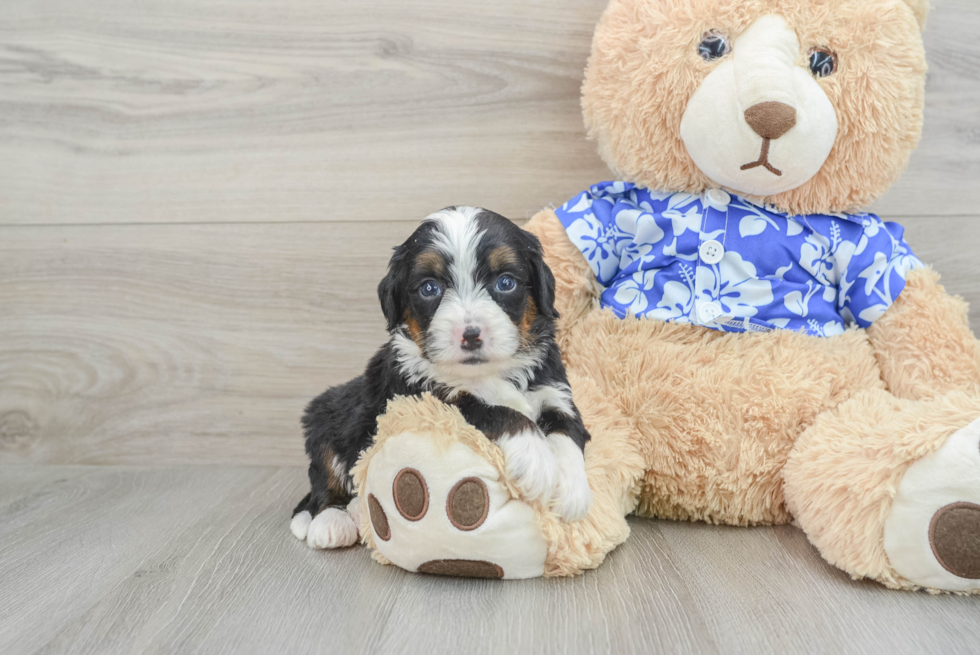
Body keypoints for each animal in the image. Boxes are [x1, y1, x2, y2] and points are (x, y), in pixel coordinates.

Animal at [290, 208, 588, 552]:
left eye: (506, 282)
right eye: (429, 288)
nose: (471, 335)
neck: (486, 373)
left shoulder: (555, 392)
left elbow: (567, 432)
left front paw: (572, 492)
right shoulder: (427, 398)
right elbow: (493, 410)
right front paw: (535, 460)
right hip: (325, 415)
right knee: (323, 482)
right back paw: (331, 522)